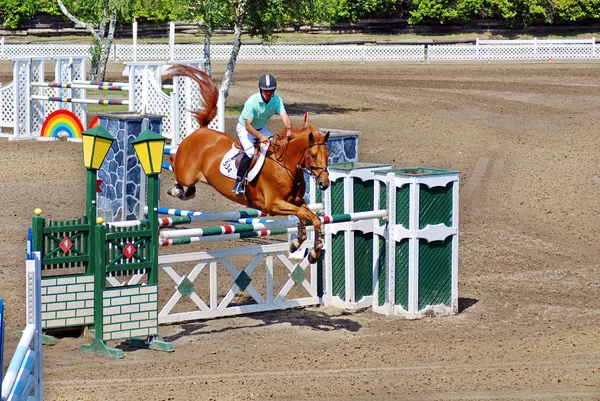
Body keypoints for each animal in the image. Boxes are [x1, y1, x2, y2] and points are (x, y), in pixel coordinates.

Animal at [162, 65, 330, 262]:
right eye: (313, 155)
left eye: (328, 154)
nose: (324, 184)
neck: (284, 166)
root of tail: (202, 131)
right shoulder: (273, 205)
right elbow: (303, 214)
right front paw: (301, 244)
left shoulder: (296, 201)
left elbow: (313, 218)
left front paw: (310, 249)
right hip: (186, 173)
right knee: (174, 163)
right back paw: (177, 189)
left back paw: (187, 192)